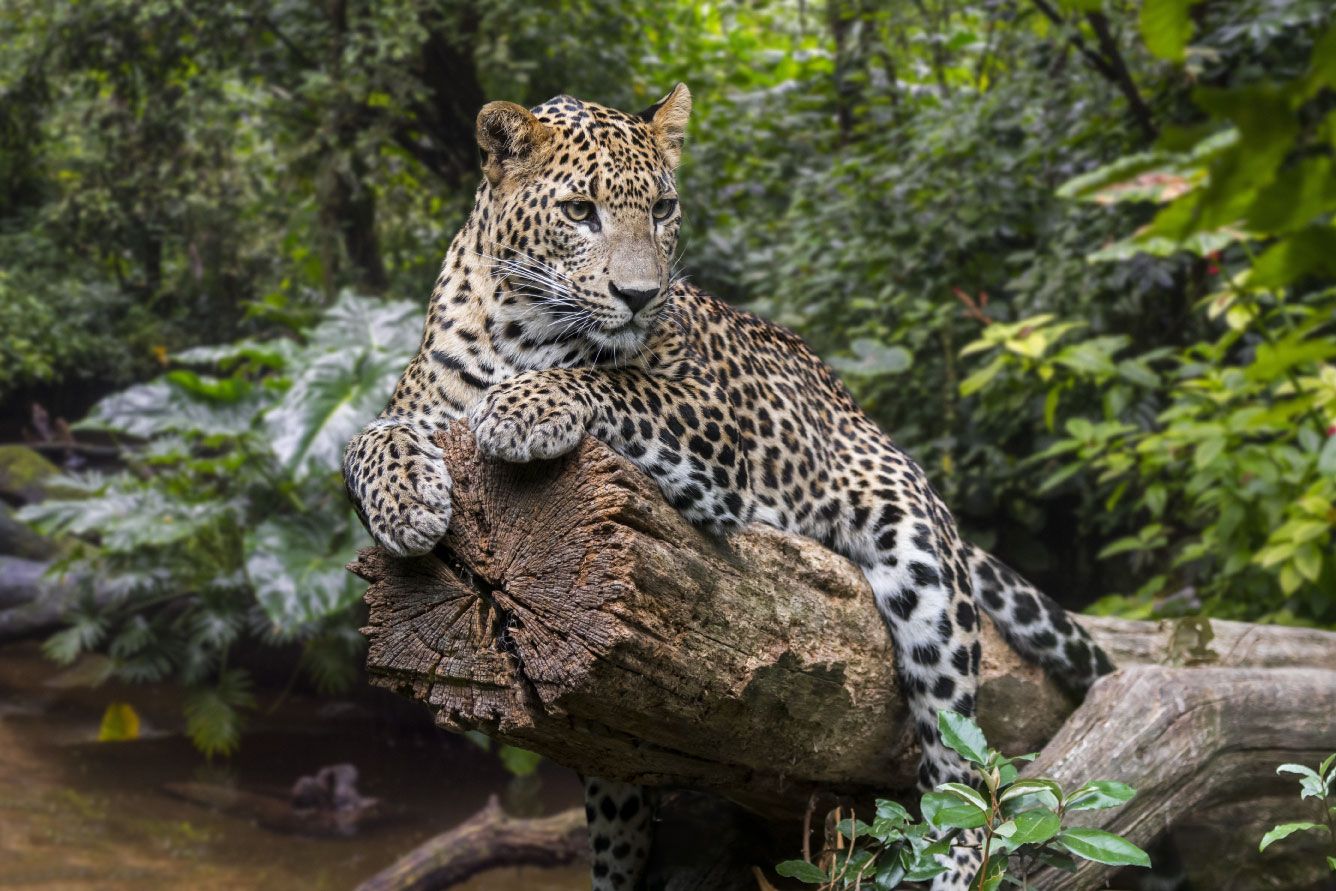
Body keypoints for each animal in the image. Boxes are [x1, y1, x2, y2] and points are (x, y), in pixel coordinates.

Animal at [344, 85, 1116, 891]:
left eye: (662, 208)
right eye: (580, 210)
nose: (640, 295)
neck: (521, 330)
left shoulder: (709, 421)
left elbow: (613, 382)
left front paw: (524, 408)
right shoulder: (417, 408)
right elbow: (366, 439)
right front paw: (406, 503)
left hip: (920, 561)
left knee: (959, 771)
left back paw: (953, 860)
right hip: (612, 752)